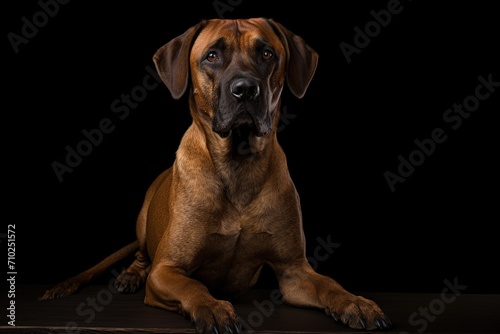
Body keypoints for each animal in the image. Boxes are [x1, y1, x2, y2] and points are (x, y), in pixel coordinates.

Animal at [39, 18, 390, 334]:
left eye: (266, 53)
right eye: (211, 56)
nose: (245, 89)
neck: (238, 164)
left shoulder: (294, 271)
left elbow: (329, 285)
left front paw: (355, 302)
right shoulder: (166, 270)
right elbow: (193, 287)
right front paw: (211, 307)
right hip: (143, 219)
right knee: (141, 254)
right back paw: (130, 275)